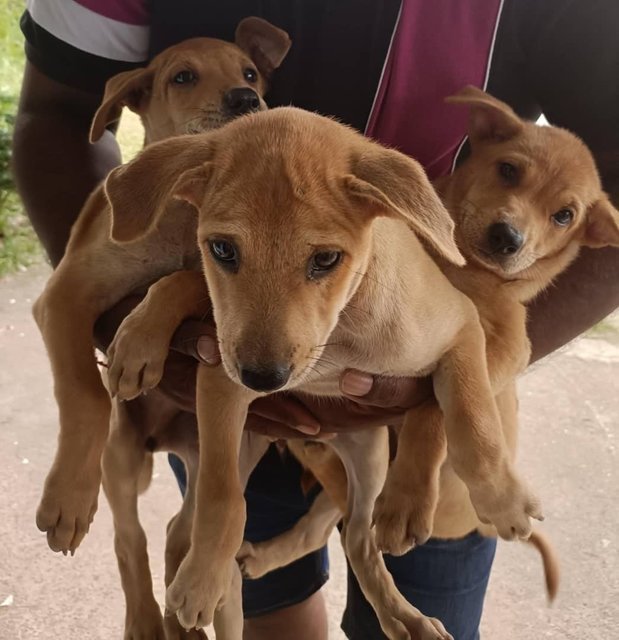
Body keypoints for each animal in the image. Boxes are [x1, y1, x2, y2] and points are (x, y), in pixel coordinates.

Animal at [101, 105, 544, 636]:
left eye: (326, 259)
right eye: (223, 249)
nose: (263, 379)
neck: (339, 335)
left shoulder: (461, 326)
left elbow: (472, 421)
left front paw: (503, 500)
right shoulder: (220, 379)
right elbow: (221, 497)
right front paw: (201, 581)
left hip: (370, 455)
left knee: (359, 538)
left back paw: (406, 618)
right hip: (247, 441)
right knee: (190, 523)